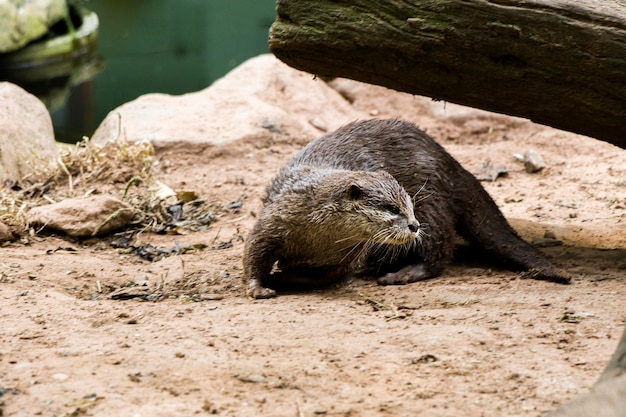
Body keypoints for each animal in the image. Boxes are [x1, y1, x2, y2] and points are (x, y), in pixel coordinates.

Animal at [244, 118, 572, 298]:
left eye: (408, 205)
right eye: (391, 208)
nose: (413, 225)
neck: (315, 238)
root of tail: (450, 163)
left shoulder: (347, 258)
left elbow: (326, 277)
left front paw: (281, 278)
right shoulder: (274, 221)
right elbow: (254, 252)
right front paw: (259, 286)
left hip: (433, 205)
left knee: (439, 252)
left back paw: (401, 273)